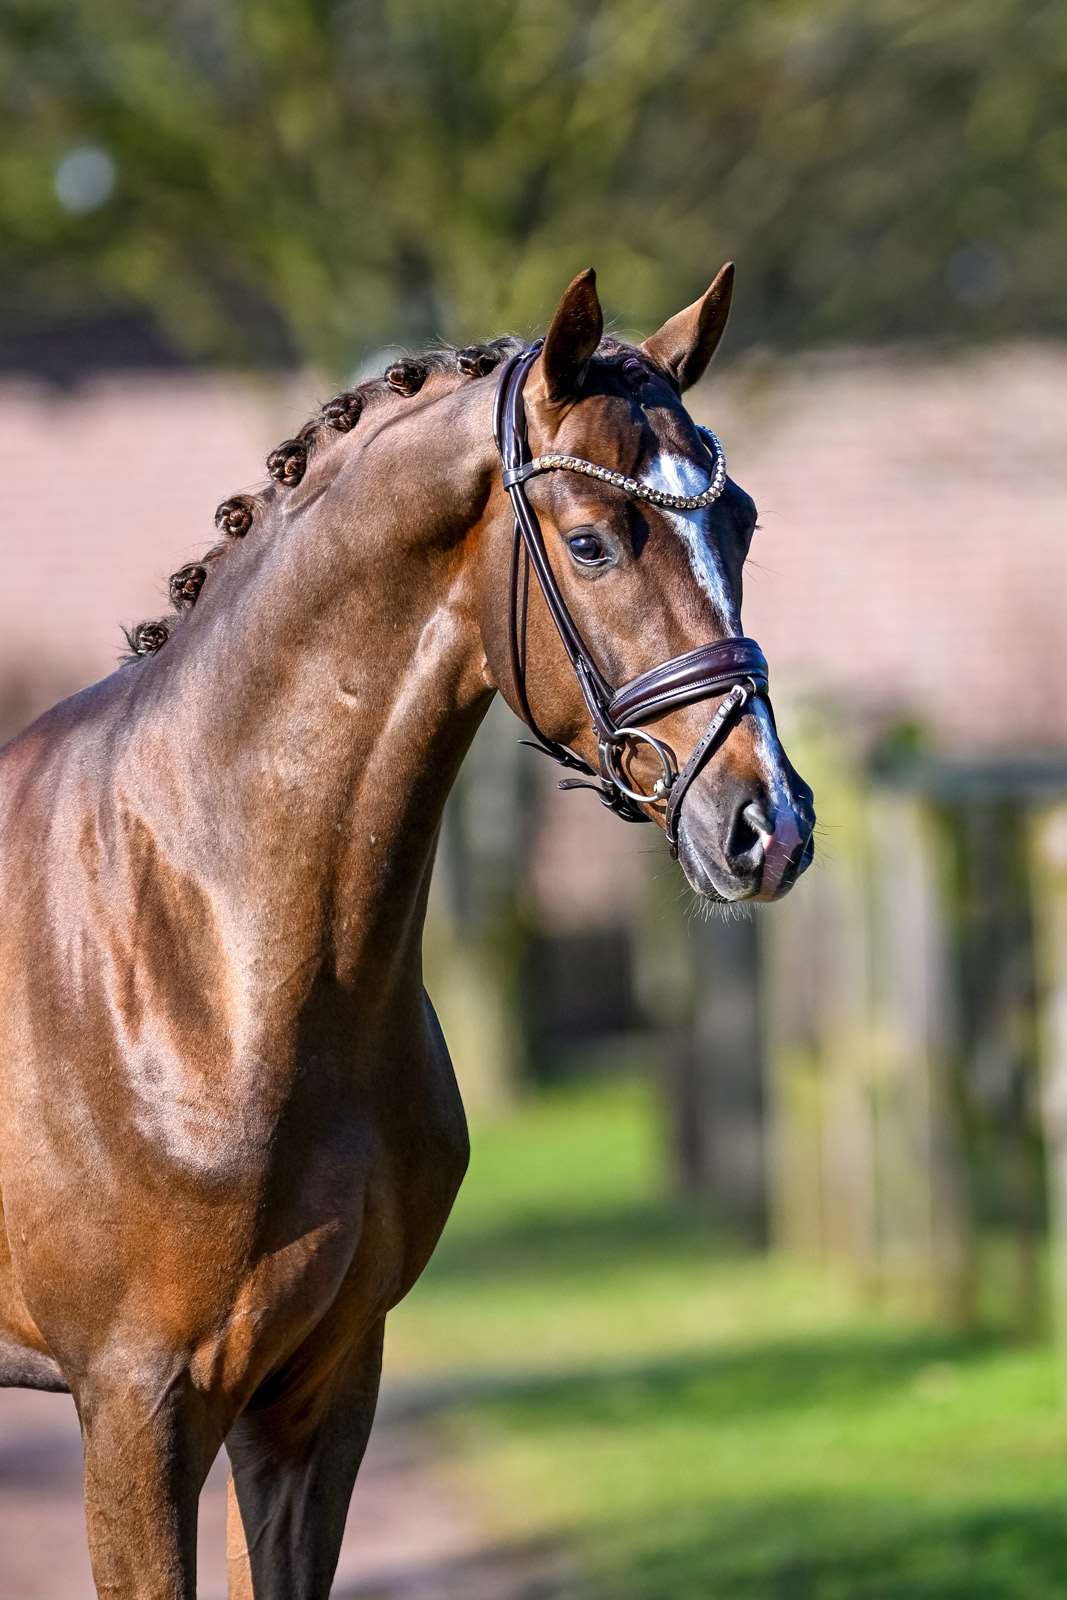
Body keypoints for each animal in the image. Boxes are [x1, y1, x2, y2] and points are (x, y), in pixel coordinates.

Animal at [0, 264, 814, 1598]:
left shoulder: (318, 1389)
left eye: (737, 520)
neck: (210, 962)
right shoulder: (134, 1405)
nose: (766, 824)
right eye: (589, 540)